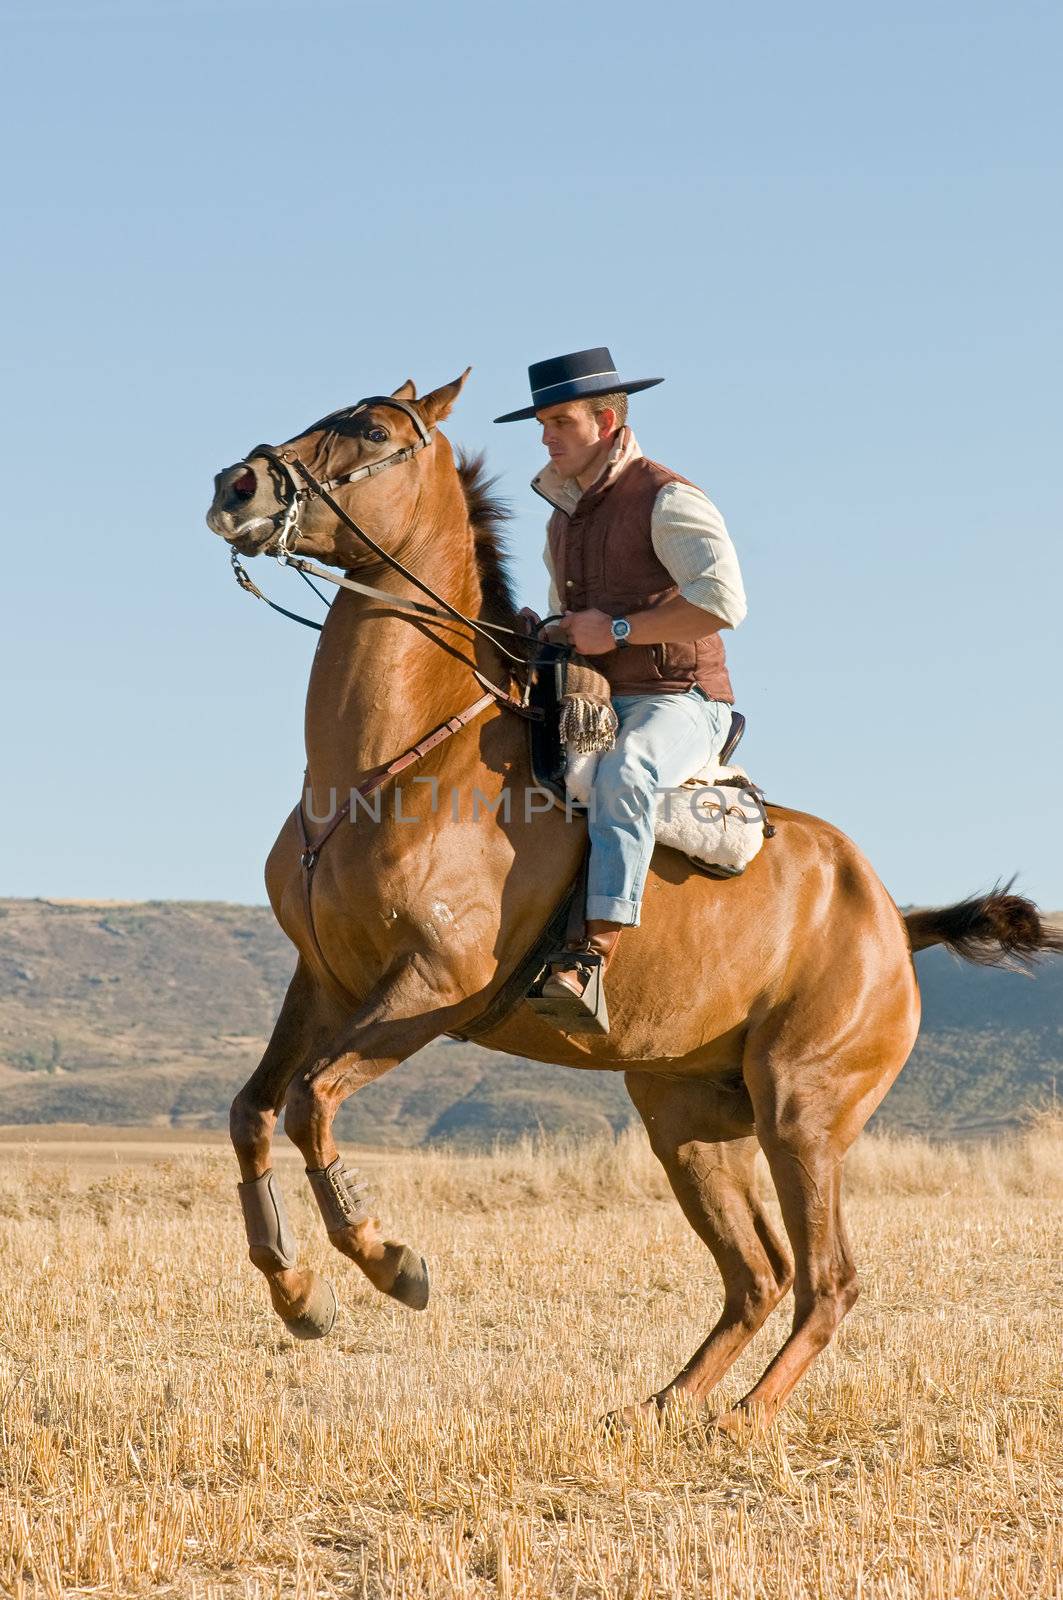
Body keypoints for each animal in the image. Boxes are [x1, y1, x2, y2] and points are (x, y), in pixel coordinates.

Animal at [204, 371, 1056, 1427]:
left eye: (365, 429)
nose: (236, 485)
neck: (393, 763)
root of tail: (892, 927)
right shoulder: (324, 980)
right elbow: (253, 1111)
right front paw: (298, 1293)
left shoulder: (430, 990)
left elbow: (312, 1102)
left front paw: (390, 1263)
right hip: (683, 1122)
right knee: (758, 1276)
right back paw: (661, 1407)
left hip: (801, 1114)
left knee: (828, 1279)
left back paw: (745, 1419)